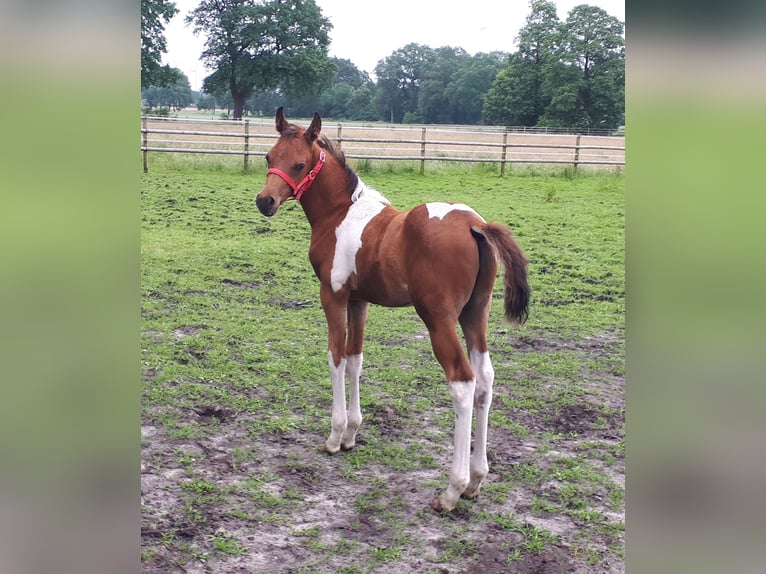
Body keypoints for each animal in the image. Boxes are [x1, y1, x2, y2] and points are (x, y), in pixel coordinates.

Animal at [255, 108, 532, 512]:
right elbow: (355, 359)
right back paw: (477, 480)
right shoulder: (359, 300)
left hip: (438, 319)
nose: (265, 202)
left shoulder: (332, 296)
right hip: (475, 315)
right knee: (485, 378)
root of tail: (475, 225)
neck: (339, 213)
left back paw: (453, 489)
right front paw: (352, 433)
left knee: (463, 382)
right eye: (268, 157)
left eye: (300, 163)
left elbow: (335, 356)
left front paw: (334, 436)